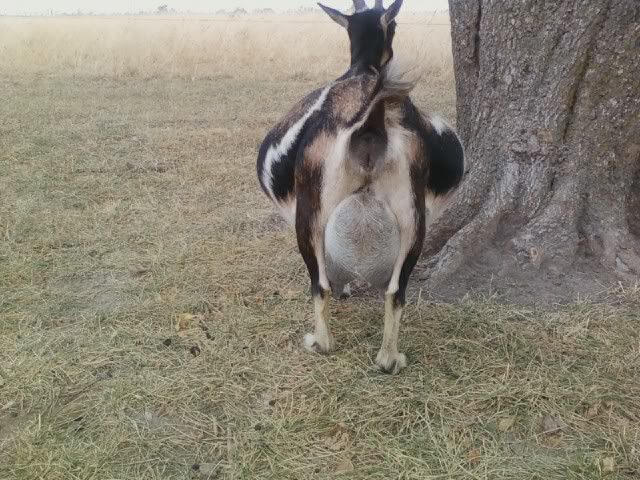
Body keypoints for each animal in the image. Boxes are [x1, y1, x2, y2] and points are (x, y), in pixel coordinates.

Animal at [257, 0, 464, 374]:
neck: (361, 71)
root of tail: (371, 119)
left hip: (310, 220)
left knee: (320, 285)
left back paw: (319, 342)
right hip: (413, 222)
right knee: (395, 293)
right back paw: (389, 359)